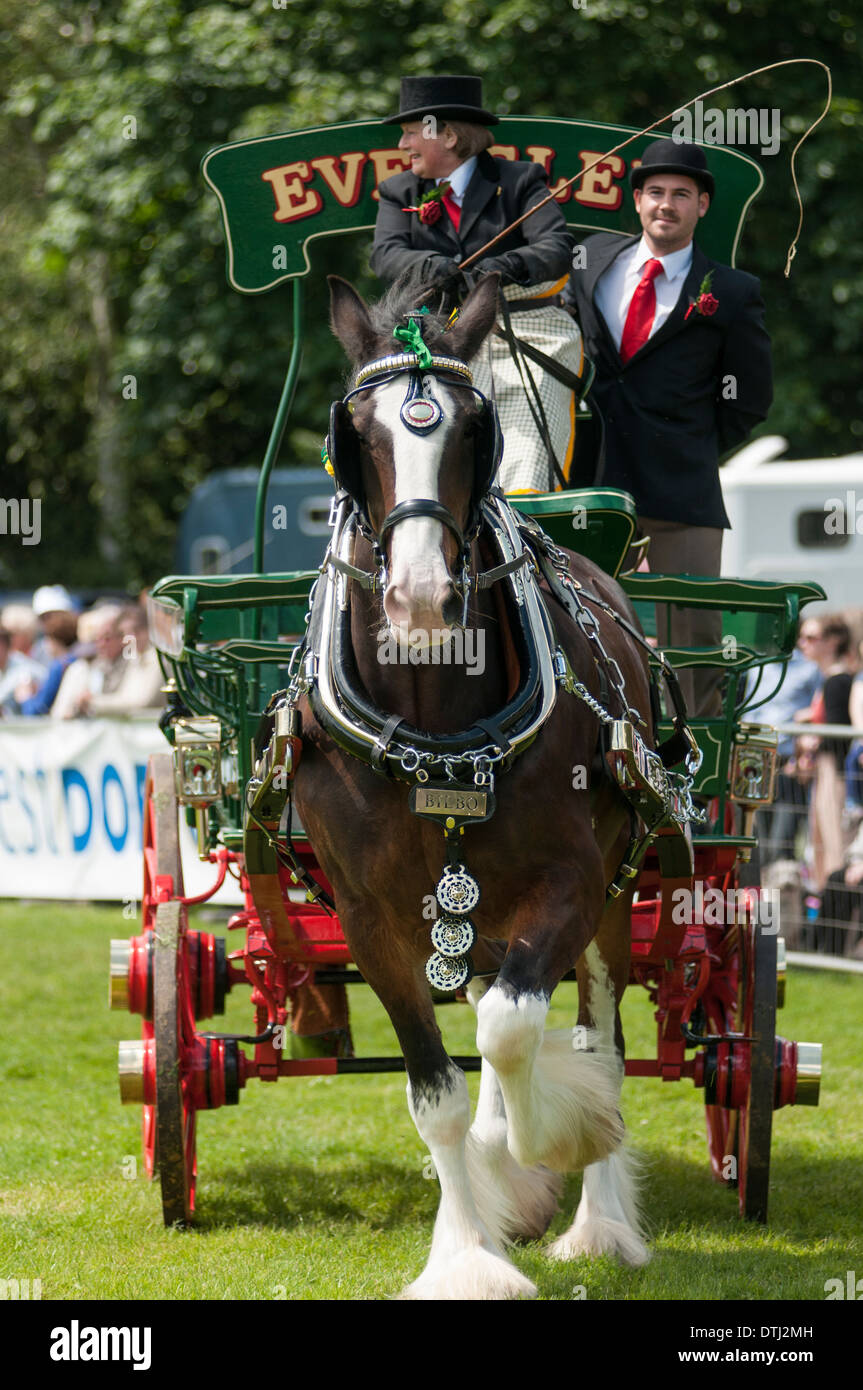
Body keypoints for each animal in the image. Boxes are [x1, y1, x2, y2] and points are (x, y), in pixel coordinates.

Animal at [294, 273, 653, 1301]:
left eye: (470, 429)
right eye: (357, 430)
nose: (419, 598)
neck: (436, 733)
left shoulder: (572, 884)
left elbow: (516, 1032)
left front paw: (557, 1140)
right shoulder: (371, 917)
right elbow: (440, 1095)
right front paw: (467, 1255)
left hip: (613, 896)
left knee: (596, 1032)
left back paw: (597, 1222)